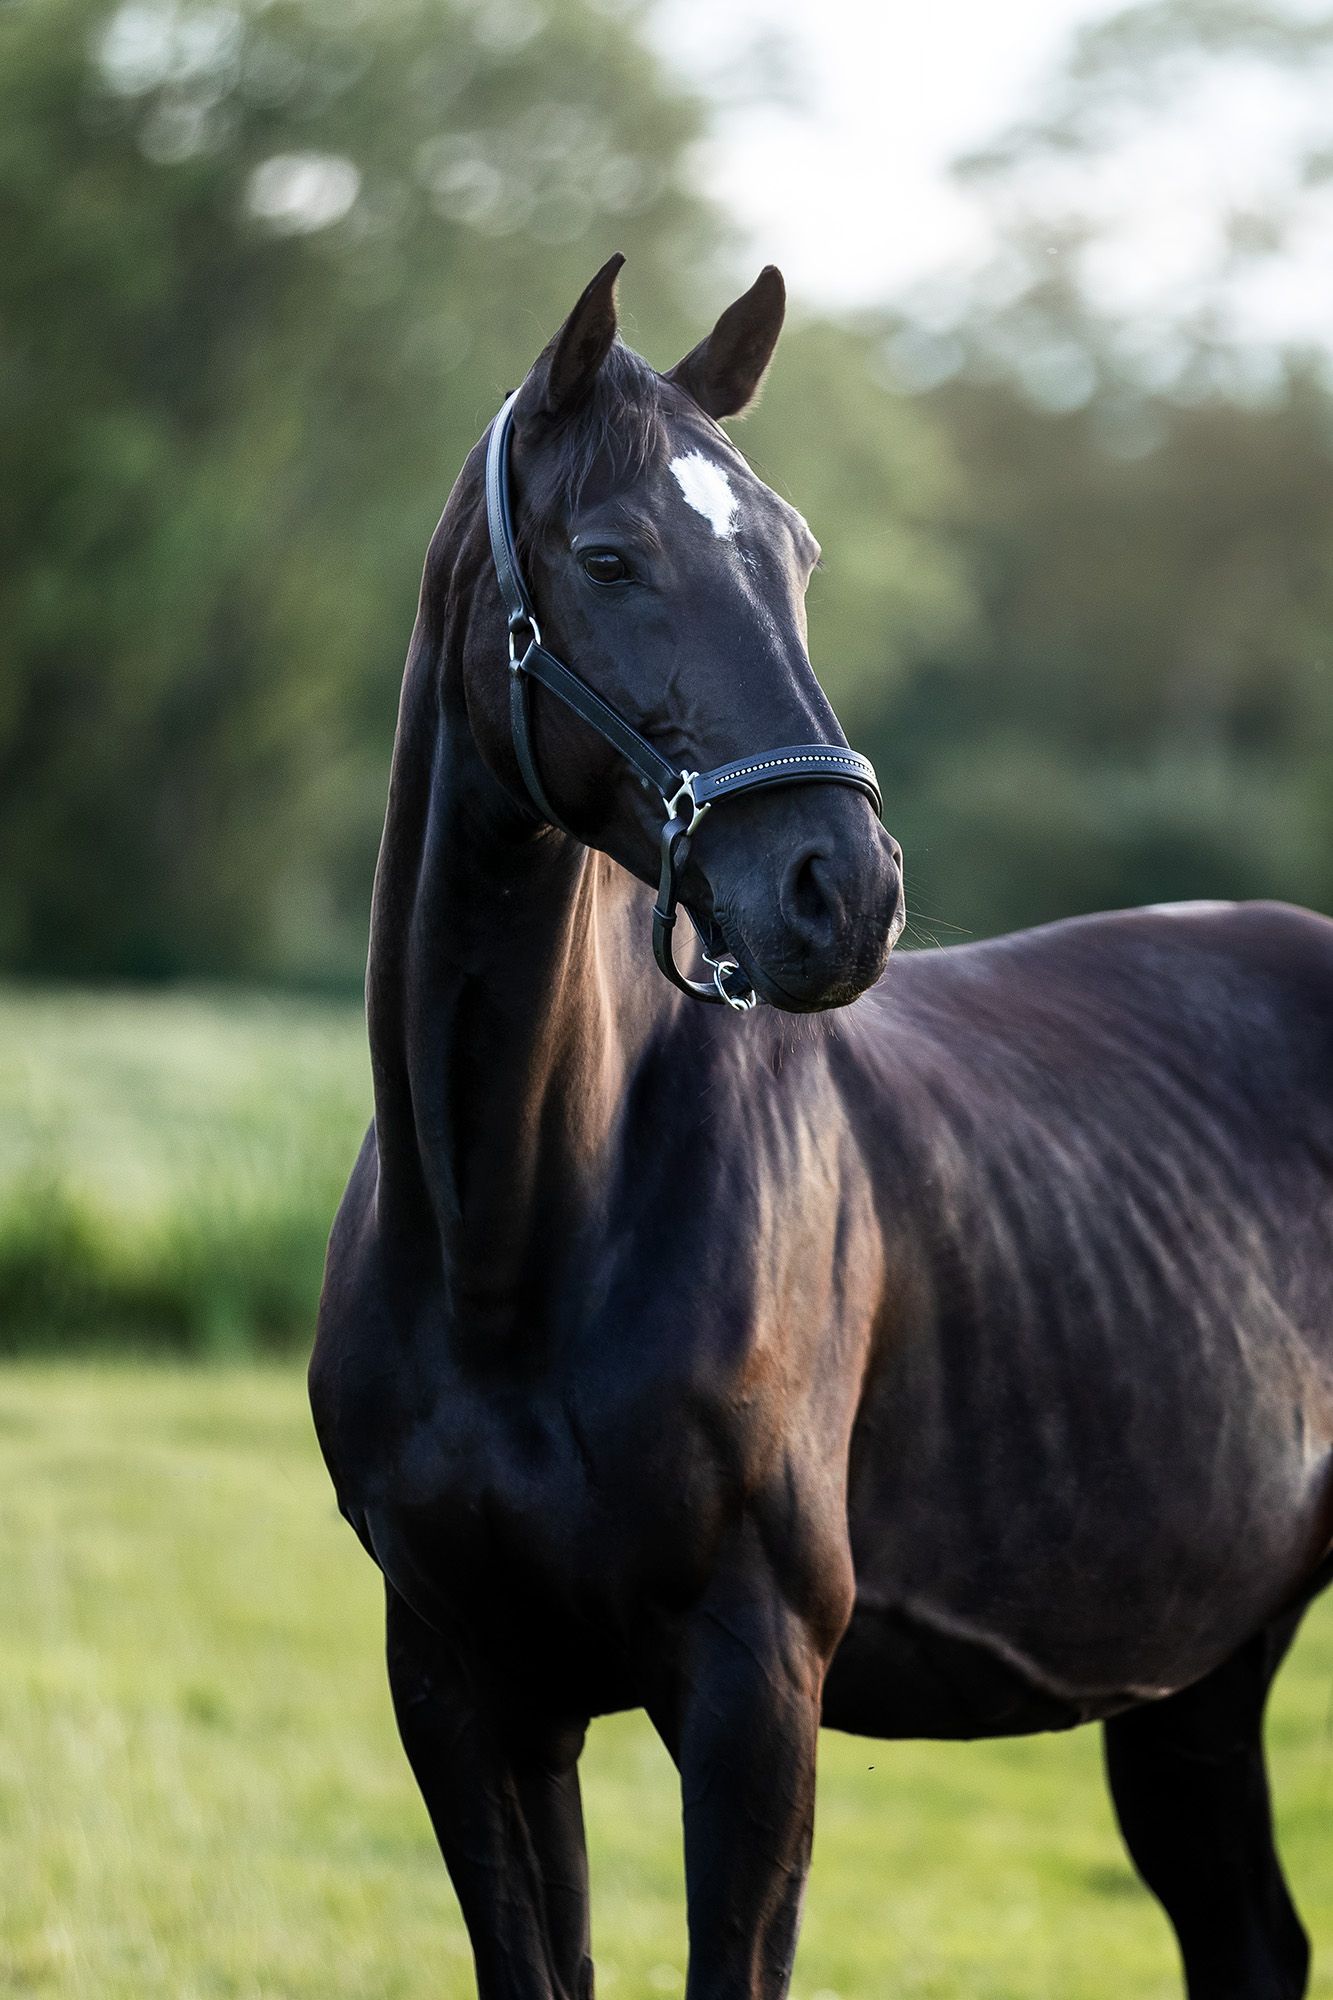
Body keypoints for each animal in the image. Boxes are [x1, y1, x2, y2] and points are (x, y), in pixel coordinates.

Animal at [310, 253, 1333, 2000]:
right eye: (609, 555)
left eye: (794, 556)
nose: (838, 892)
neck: (514, 1231)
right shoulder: (465, 1690)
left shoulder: (753, 1690)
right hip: (1201, 1673)